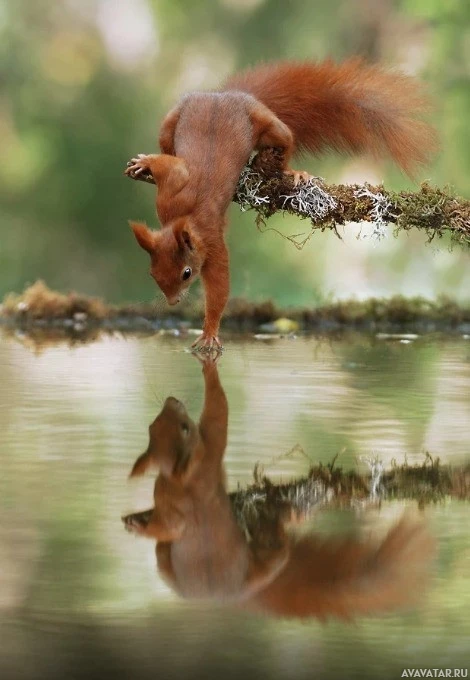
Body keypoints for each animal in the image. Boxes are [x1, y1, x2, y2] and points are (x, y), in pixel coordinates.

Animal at [122, 354, 434, 620]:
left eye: (157, 425)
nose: (172, 400)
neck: (181, 480)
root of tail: (240, 597)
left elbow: (167, 525)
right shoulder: (208, 457)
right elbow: (218, 414)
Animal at [126, 58, 436, 348]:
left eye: (187, 273)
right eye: (152, 273)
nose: (173, 302)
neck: (183, 218)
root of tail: (226, 94)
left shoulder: (211, 242)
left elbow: (219, 289)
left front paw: (210, 333)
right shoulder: (170, 195)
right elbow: (170, 166)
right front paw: (145, 163)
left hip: (267, 125)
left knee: (284, 140)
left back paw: (292, 172)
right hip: (172, 121)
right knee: (167, 143)